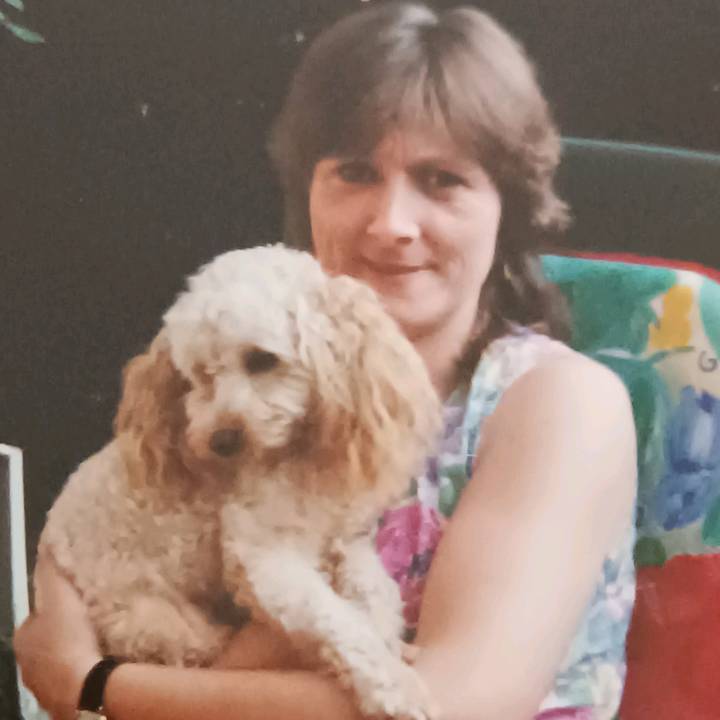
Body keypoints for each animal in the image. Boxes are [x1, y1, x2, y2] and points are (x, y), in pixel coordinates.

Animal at [39, 245, 441, 719]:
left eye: (262, 359)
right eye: (200, 375)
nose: (221, 441)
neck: (294, 458)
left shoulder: (348, 541)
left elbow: (378, 593)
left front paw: (386, 634)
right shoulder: (263, 558)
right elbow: (337, 618)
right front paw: (395, 685)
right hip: (143, 610)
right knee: (170, 640)